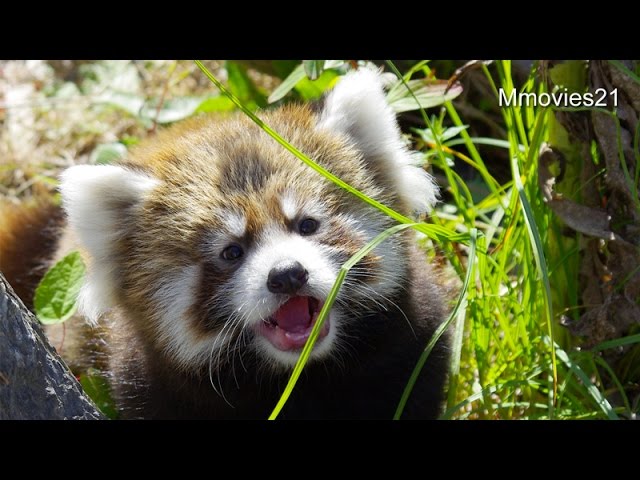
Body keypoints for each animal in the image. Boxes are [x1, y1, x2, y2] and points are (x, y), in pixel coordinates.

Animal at [0, 66, 450, 416]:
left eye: (307, 225)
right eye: (231, 252)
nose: (287, 275)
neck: (301, 375)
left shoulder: (411, 347)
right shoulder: (147, 382)